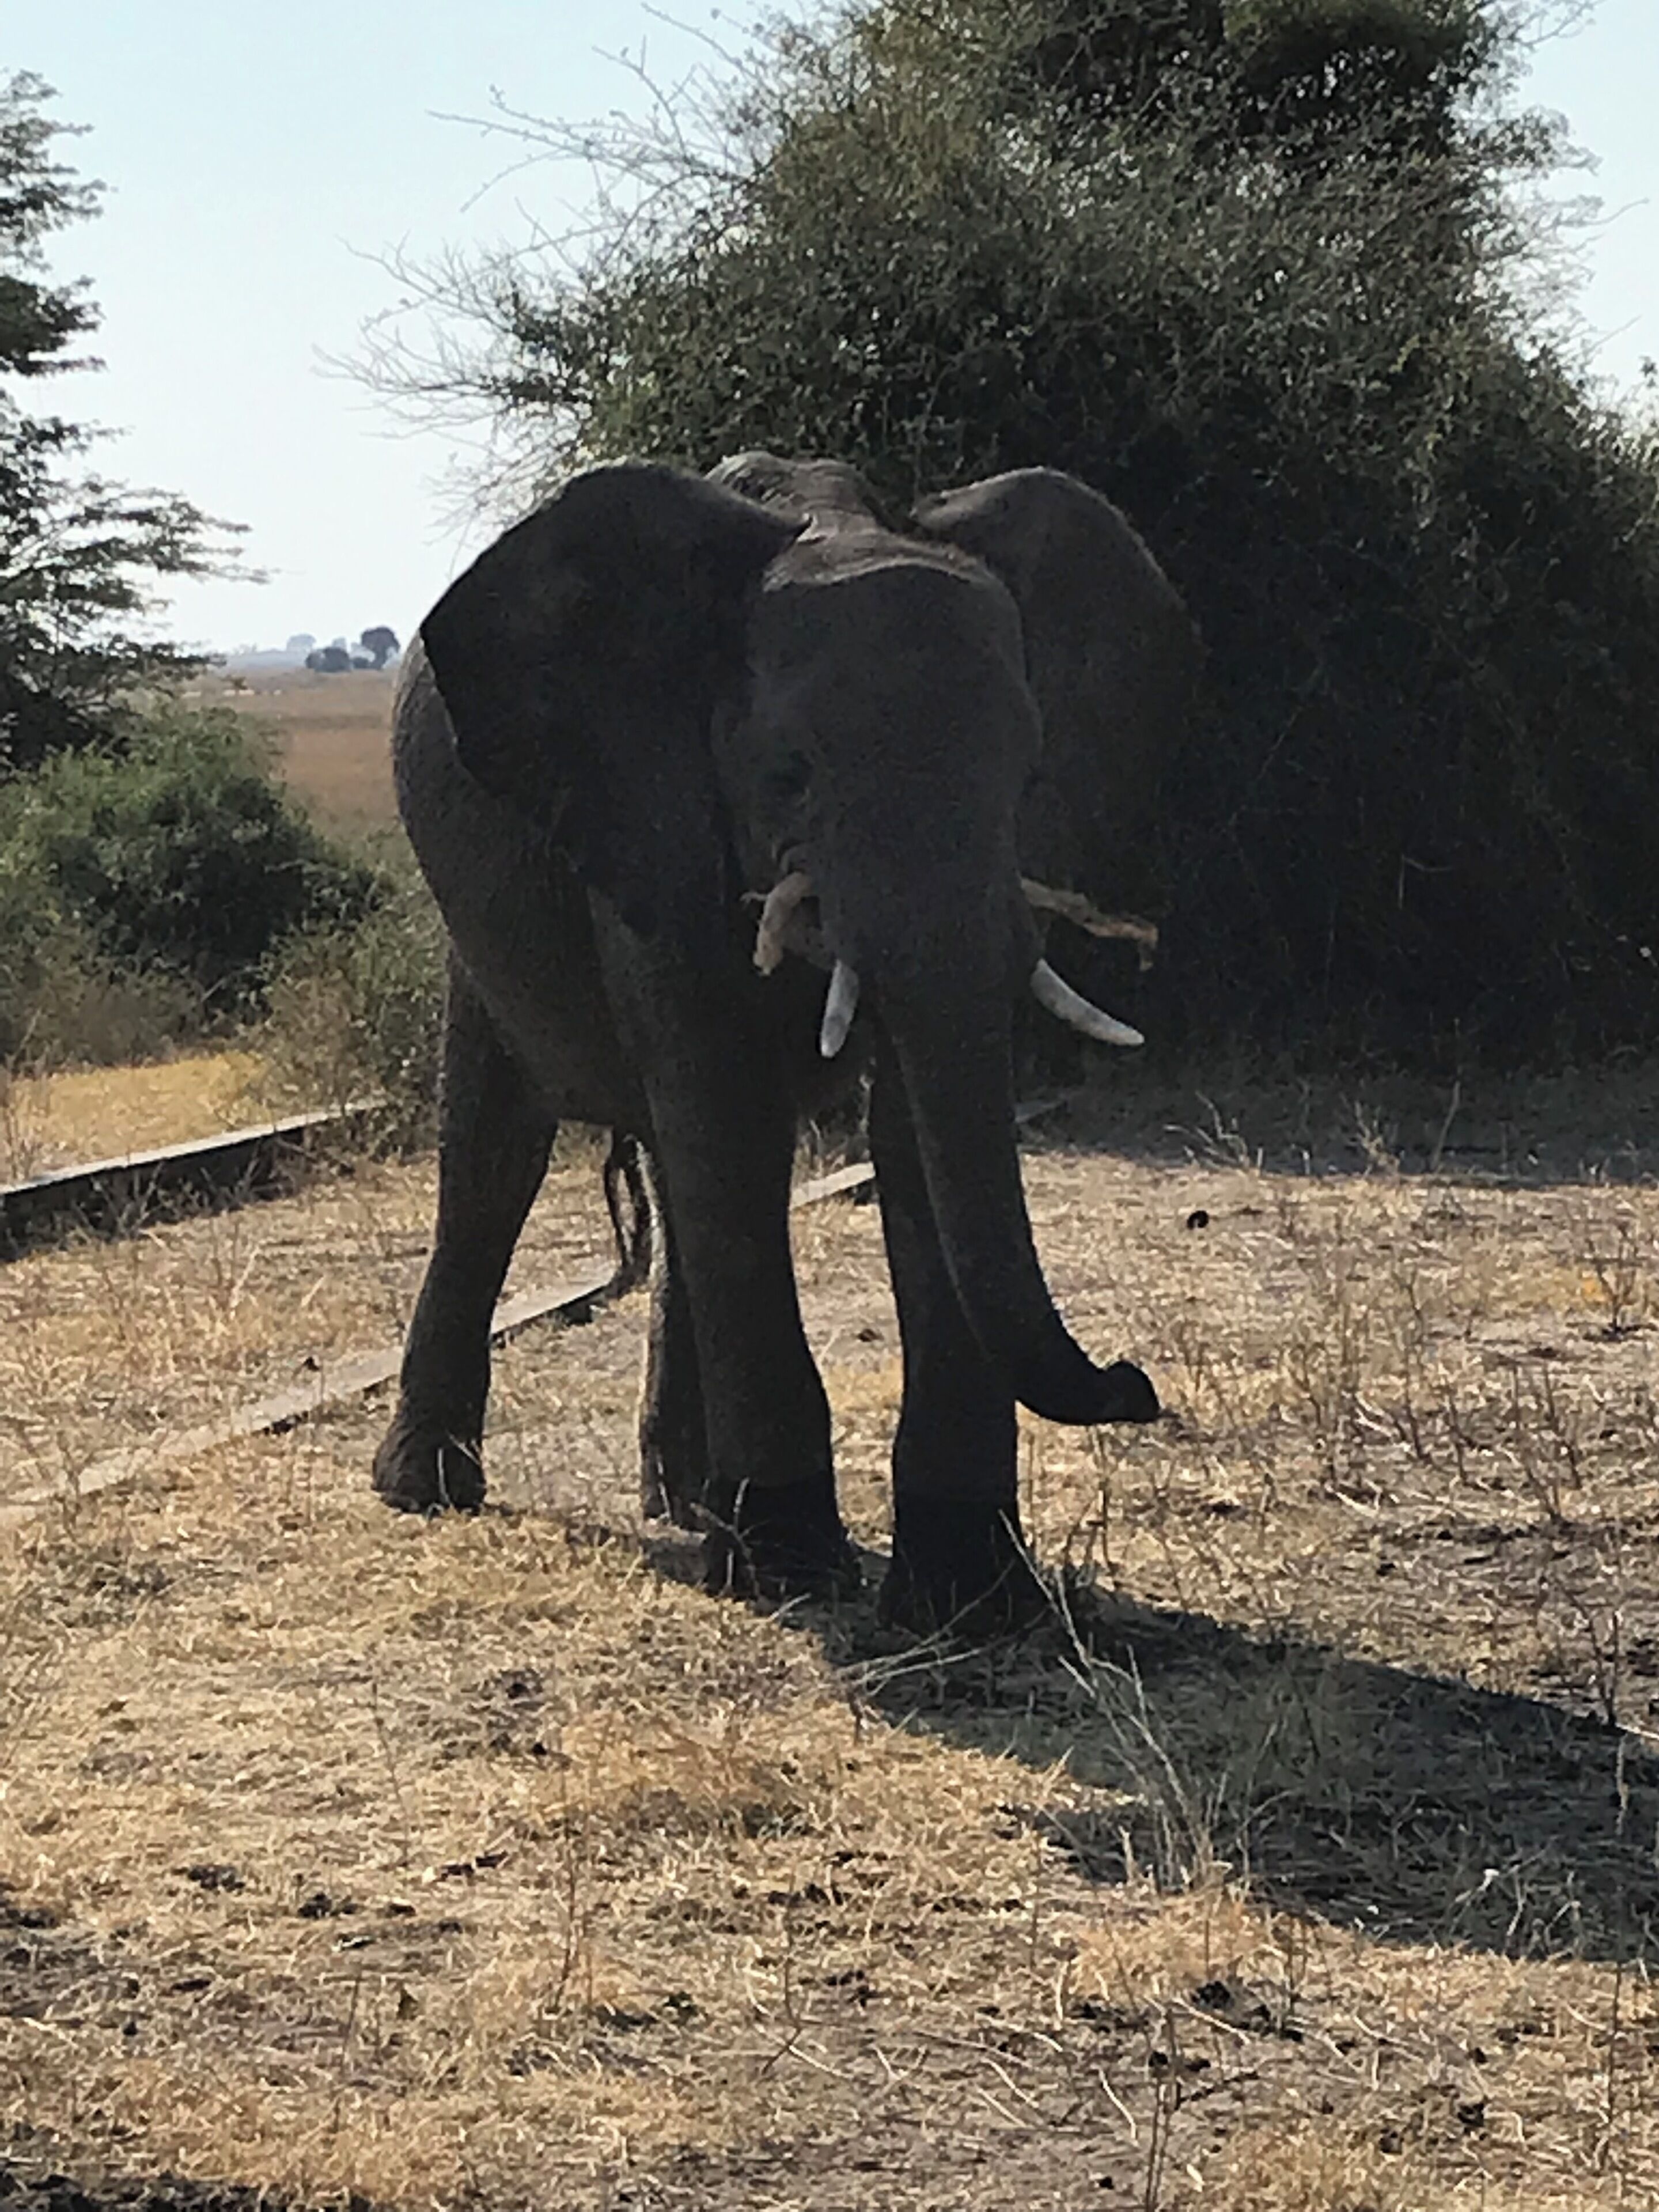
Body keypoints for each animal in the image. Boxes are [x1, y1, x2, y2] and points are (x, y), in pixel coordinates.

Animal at [371, 451, 1199, 1629]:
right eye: (789, 773)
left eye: (1031, 771)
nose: (1134, 1382)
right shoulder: (652, 815)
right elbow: (727, 1120)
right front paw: (787, 1570)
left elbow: (908, 1136)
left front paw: (969, 1601)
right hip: (479, 928)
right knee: (496, 1158)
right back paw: (432, 1493)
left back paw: (684, 1501)